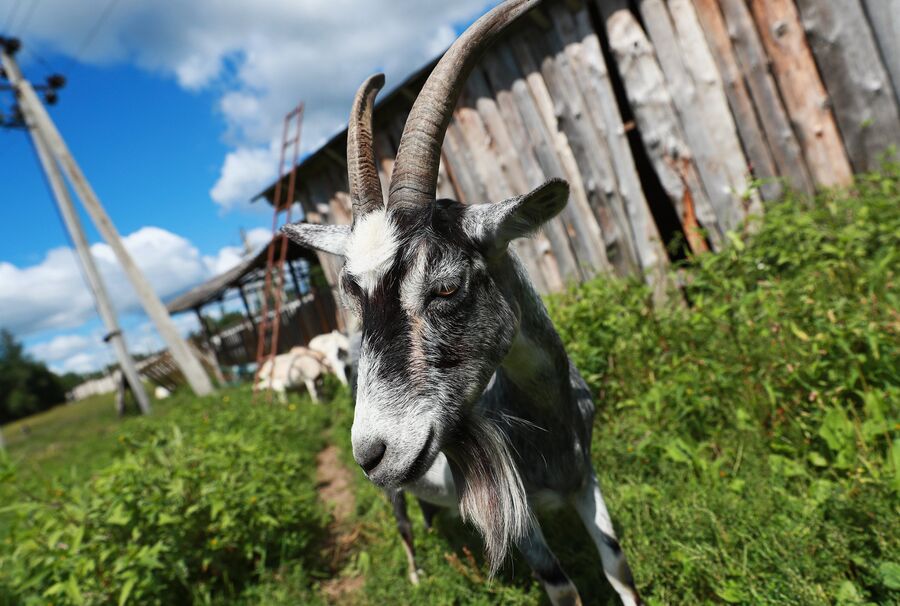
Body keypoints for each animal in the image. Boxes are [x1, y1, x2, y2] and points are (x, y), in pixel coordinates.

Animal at [284, 2, 644, 604]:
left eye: (447, 287)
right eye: (355, 297)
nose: (373, 454)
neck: (548, 427)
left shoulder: (586, 478)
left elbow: (618, 564)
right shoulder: (517, 515)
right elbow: (562, 585)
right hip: (391, 493)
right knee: (402, 523)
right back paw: (416, 573)